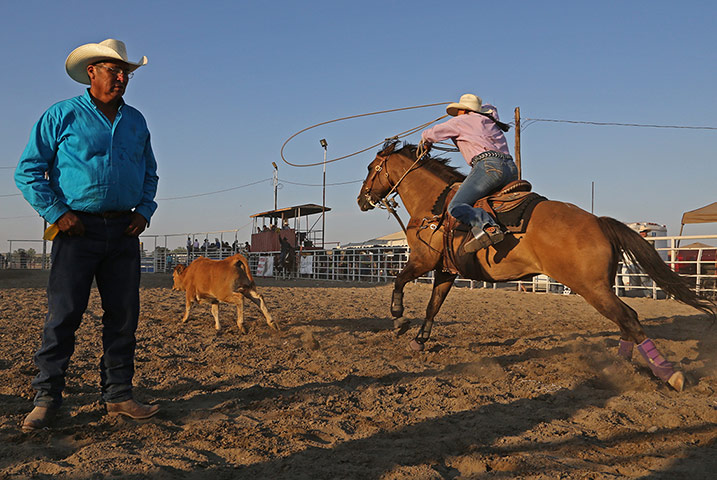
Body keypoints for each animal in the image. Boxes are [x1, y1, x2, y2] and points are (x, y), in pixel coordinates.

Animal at [358, 142, 716, 390]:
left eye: (371, 167)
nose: (362, 200)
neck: (435, 206)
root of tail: (598, 222)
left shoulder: (423, 260)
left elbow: (399, 281)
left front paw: (398, 319)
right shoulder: (446, 270)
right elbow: (433, 306)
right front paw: (419, 340)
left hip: (592, 288)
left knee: (628, 317)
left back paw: (669, 374)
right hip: (601, 287)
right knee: (627, 320)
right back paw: (621, 367)